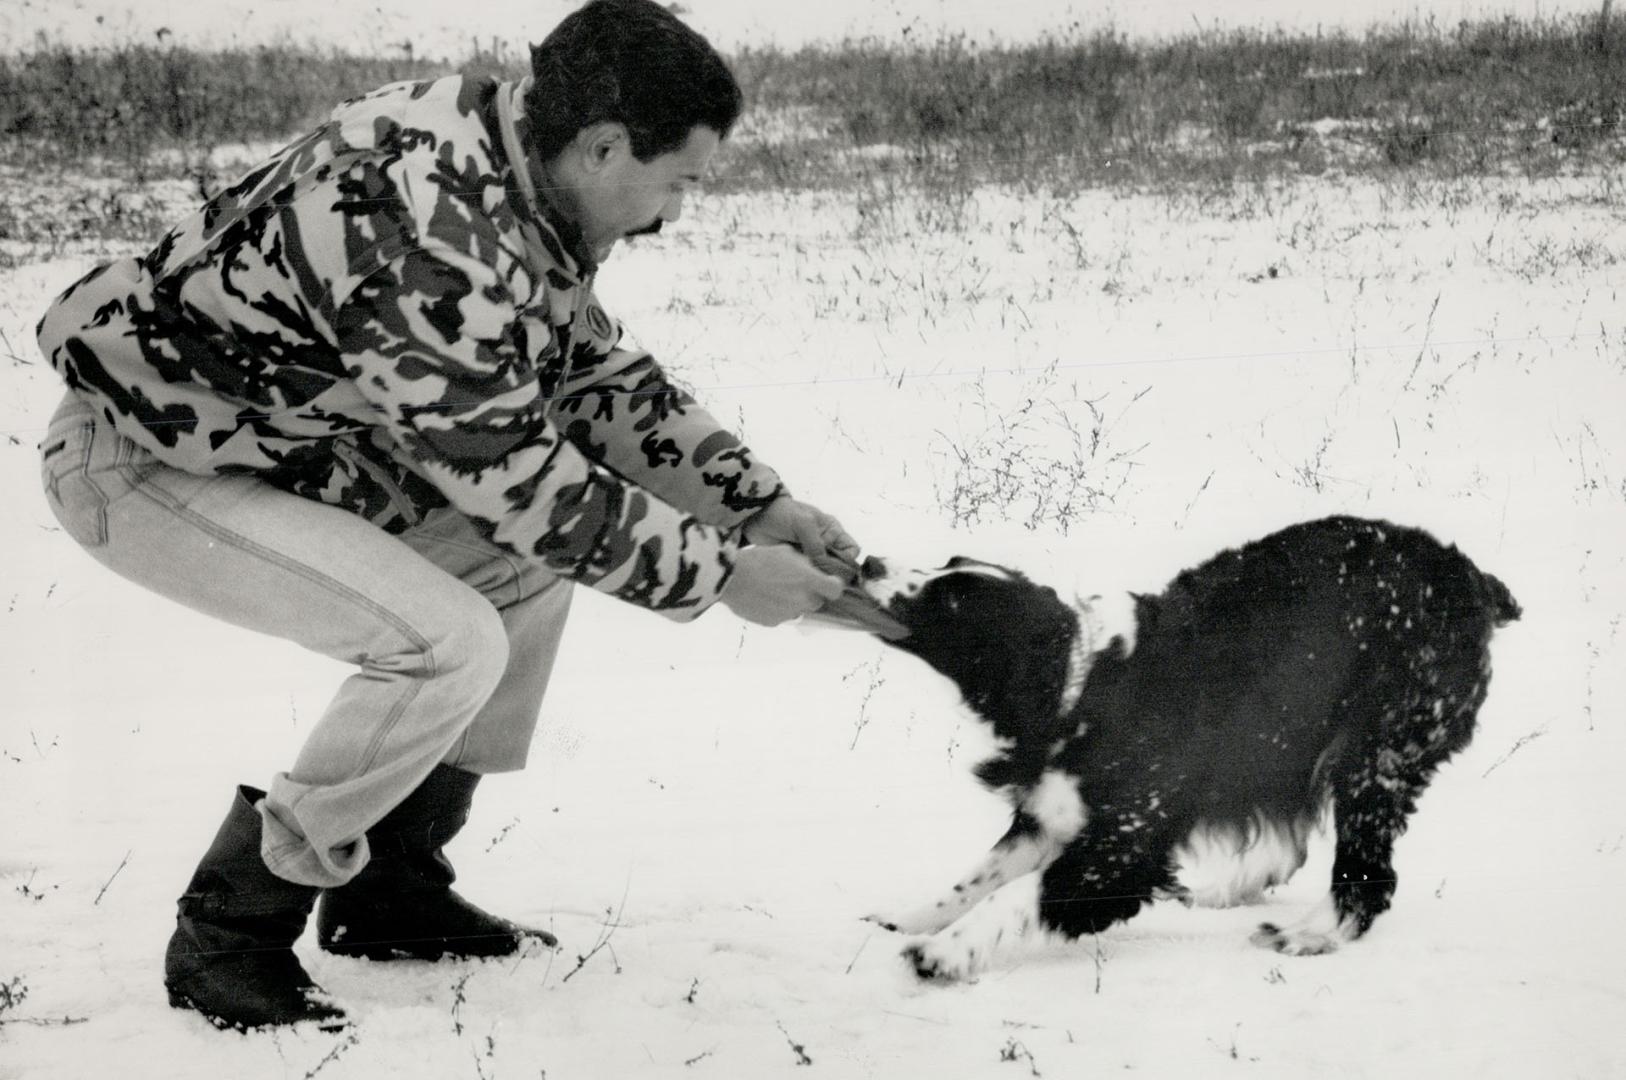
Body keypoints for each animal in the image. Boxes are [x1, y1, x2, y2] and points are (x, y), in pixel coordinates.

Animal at [858, 513, 1515, 975]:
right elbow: (979, 876)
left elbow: (1019, 893)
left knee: (1369, 874)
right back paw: (1232, 892)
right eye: (946, 563)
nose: (867, 562)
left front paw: (944, 954)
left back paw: (1309, 934)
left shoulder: (1122, 848)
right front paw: (910, 920)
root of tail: (1473, 583)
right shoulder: (1054, 815)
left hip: (1378, 753)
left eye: (949, 602)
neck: (1079, 678)